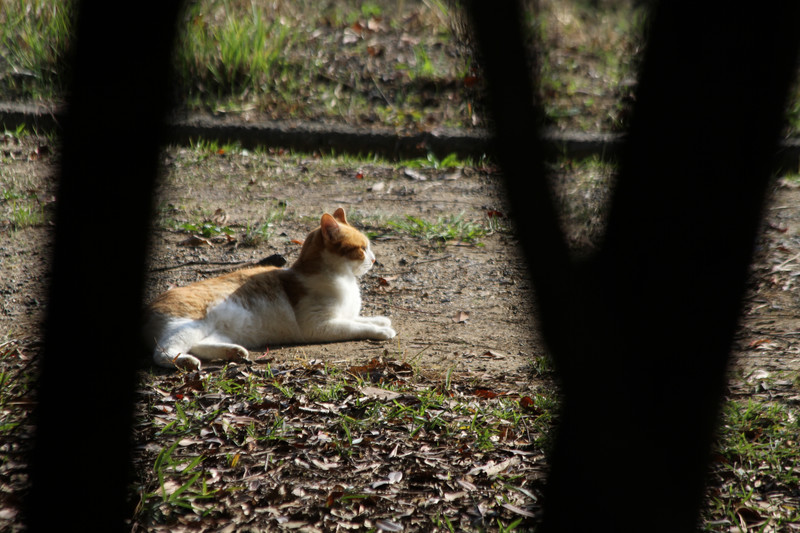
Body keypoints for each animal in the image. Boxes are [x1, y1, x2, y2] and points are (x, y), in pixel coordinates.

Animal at [146, 208, 396, 370]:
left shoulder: (344, 315)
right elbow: (355, 326)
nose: (374, 260)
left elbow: (359, 318)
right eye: (362, 249)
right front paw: (381, 331)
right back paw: (185, 361)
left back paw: (234, 352)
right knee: (162, 352)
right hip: (189, 325)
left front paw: (381, 321)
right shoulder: (319, 326)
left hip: (222, 329)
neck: (344, 279)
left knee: (200, 344)